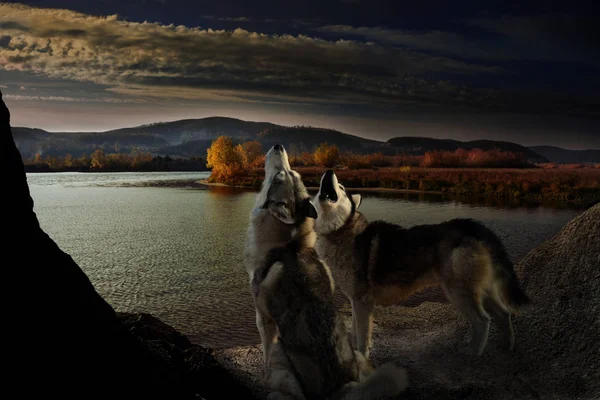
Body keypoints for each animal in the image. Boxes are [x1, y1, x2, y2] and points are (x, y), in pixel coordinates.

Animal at [248, 183, 408, 398]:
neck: (293, 247)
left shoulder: (264, 319)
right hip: (360, 359)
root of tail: (339, 388)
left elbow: (265, 354)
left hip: (280, 353)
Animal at [312, 169, 532, 356]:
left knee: (483, 321)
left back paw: (473, 353)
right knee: (504, 314)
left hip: (459, 293)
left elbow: (362, 340)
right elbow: (357, 335)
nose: (329, 171)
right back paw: (507, 347)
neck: (340, 231)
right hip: (481, 290)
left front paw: (362, 362)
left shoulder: (362, 302)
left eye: (341, 187)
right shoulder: (355, 302)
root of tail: (470, 225)